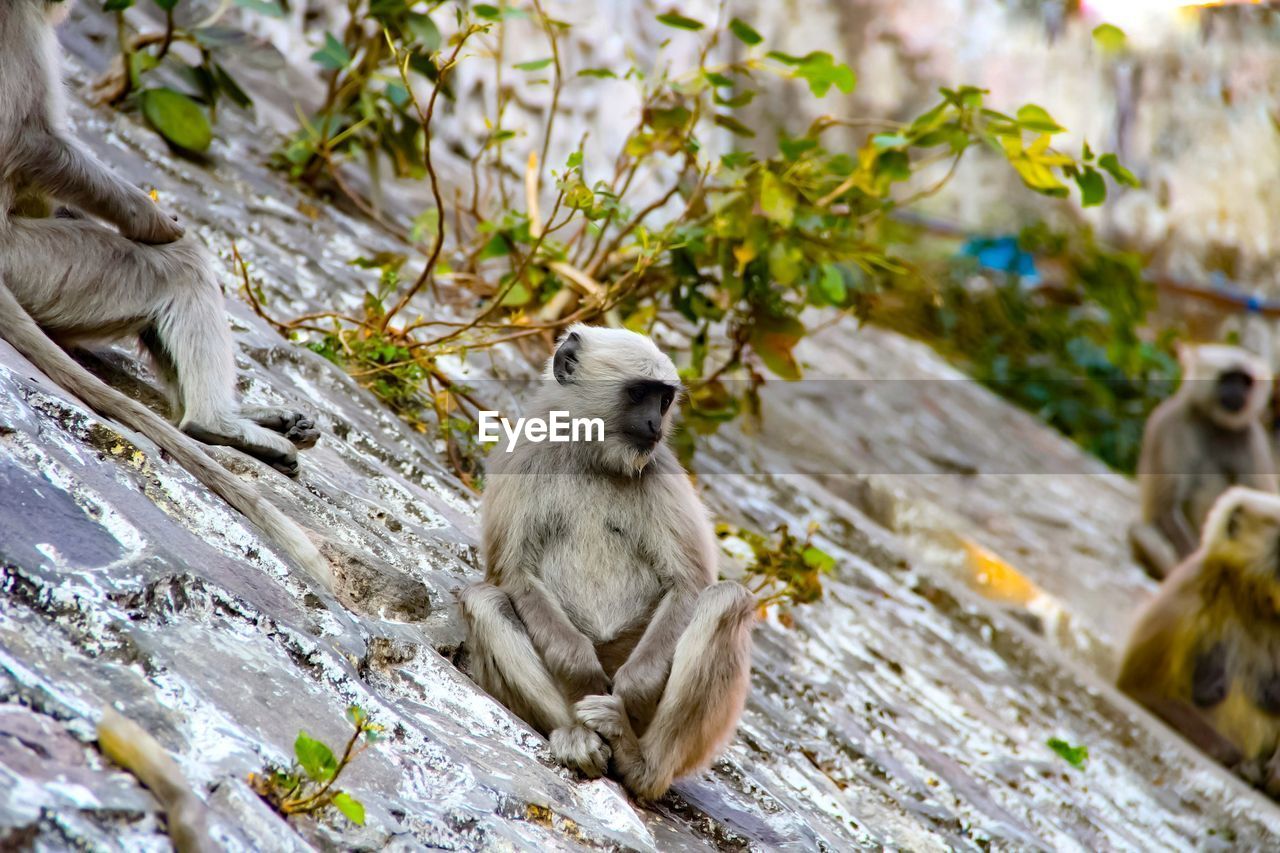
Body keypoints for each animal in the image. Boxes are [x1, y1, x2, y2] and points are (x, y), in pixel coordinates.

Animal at [460, 325, 752, 799]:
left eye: (663, 399)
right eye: (638, 394)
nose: (655, 424)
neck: (591, 456)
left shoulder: (659, 467)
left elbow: (689, 584)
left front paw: (631, 691)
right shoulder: (523, 453)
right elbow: (513, 575)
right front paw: (582, 674)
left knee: (725, 600)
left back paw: (637, 760)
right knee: (484, 599)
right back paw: (579, 737)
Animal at [1126, 343, 1274, 578]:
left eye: (1244, 381)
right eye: (1228, 378)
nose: (1237, 392)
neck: (1214, 421)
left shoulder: (1251, 437)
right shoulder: (1171, 422)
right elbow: (1164, 507)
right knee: (1142, 530)